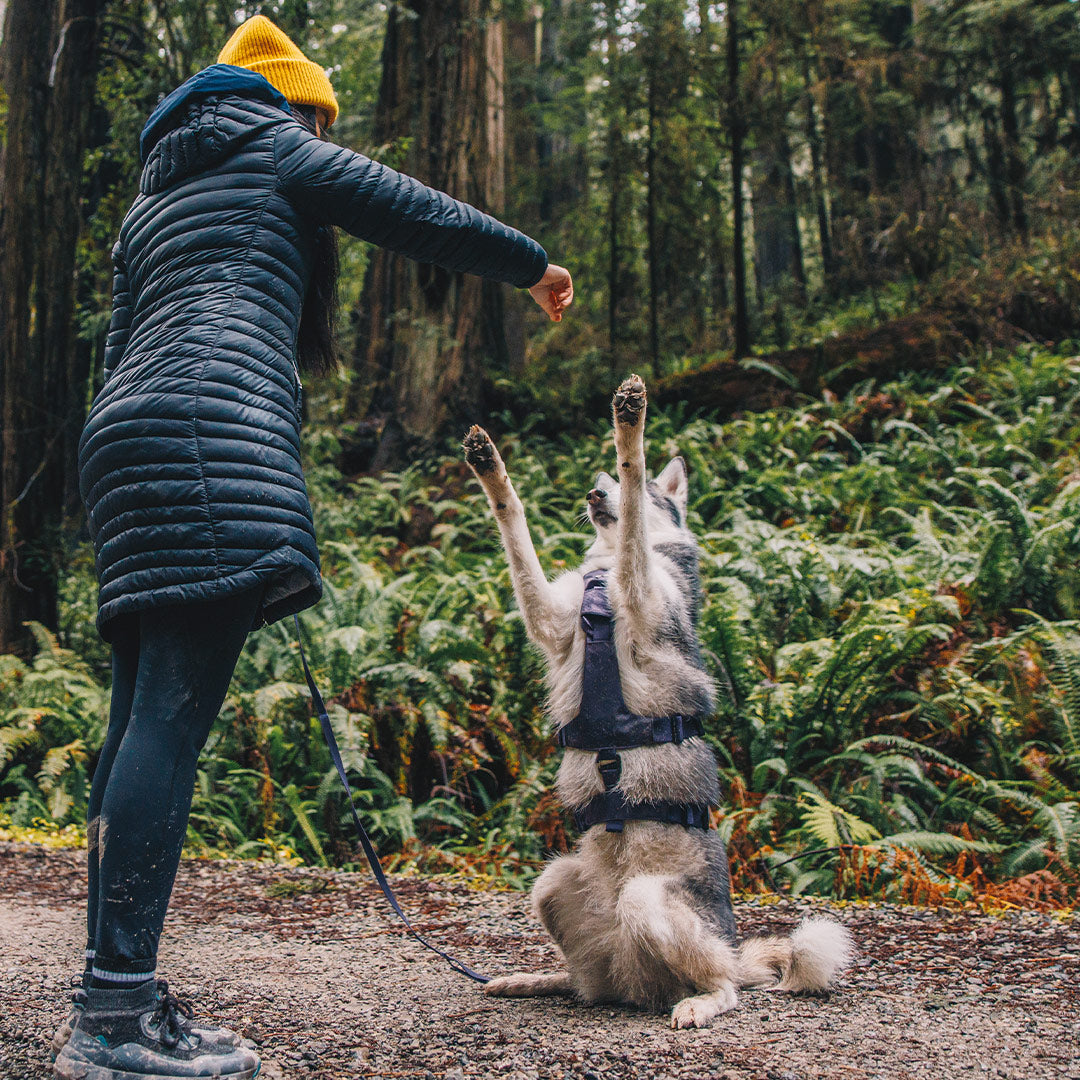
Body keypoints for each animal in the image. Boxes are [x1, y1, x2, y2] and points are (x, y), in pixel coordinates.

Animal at [464, 375, 851, 1023]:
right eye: (595, 482)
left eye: (631, 487)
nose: (594, 492)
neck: (601, 587)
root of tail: (633, 981)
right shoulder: (548, 616)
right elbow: (513, 521)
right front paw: (490, 466)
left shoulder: (639, 586)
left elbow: (634, 529)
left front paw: (631, 423)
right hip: (551, 887)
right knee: (582, 980)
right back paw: (537, 979)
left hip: (649, 905)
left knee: (724, 987)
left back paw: (701, 1001)